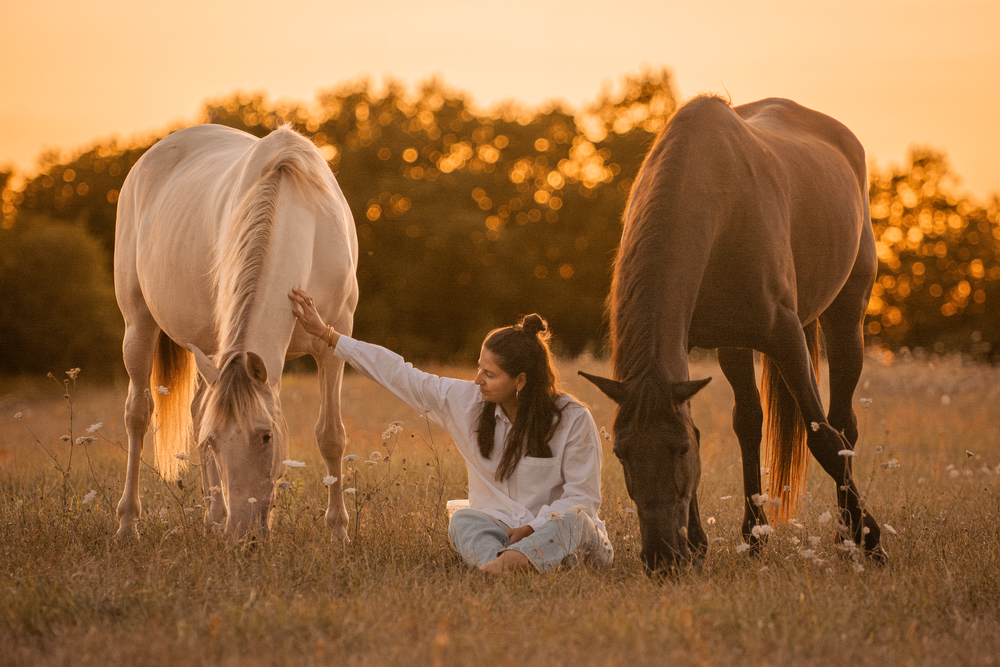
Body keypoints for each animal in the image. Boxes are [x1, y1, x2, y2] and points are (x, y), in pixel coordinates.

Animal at [114, 124, 358, 541]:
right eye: (215, 443)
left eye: (266, 436)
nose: (243, 536)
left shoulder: (333, 342)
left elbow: (330, 435)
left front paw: (339, 532)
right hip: (140, 326)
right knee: (138, 415)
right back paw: (130, 523)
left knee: (196, 409)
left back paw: (214, 516)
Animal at [581, 96, 887, 574]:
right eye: (621, 453)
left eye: (680, 450)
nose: (662, 558)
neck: (717, 198)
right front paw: (699, 545)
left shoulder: (785, 338)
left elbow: (822, 438)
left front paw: (871, 539)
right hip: (734, 345)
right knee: (749, 424)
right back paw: (755, 536)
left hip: (845, 317)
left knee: (843, 427)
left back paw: (843, 538)